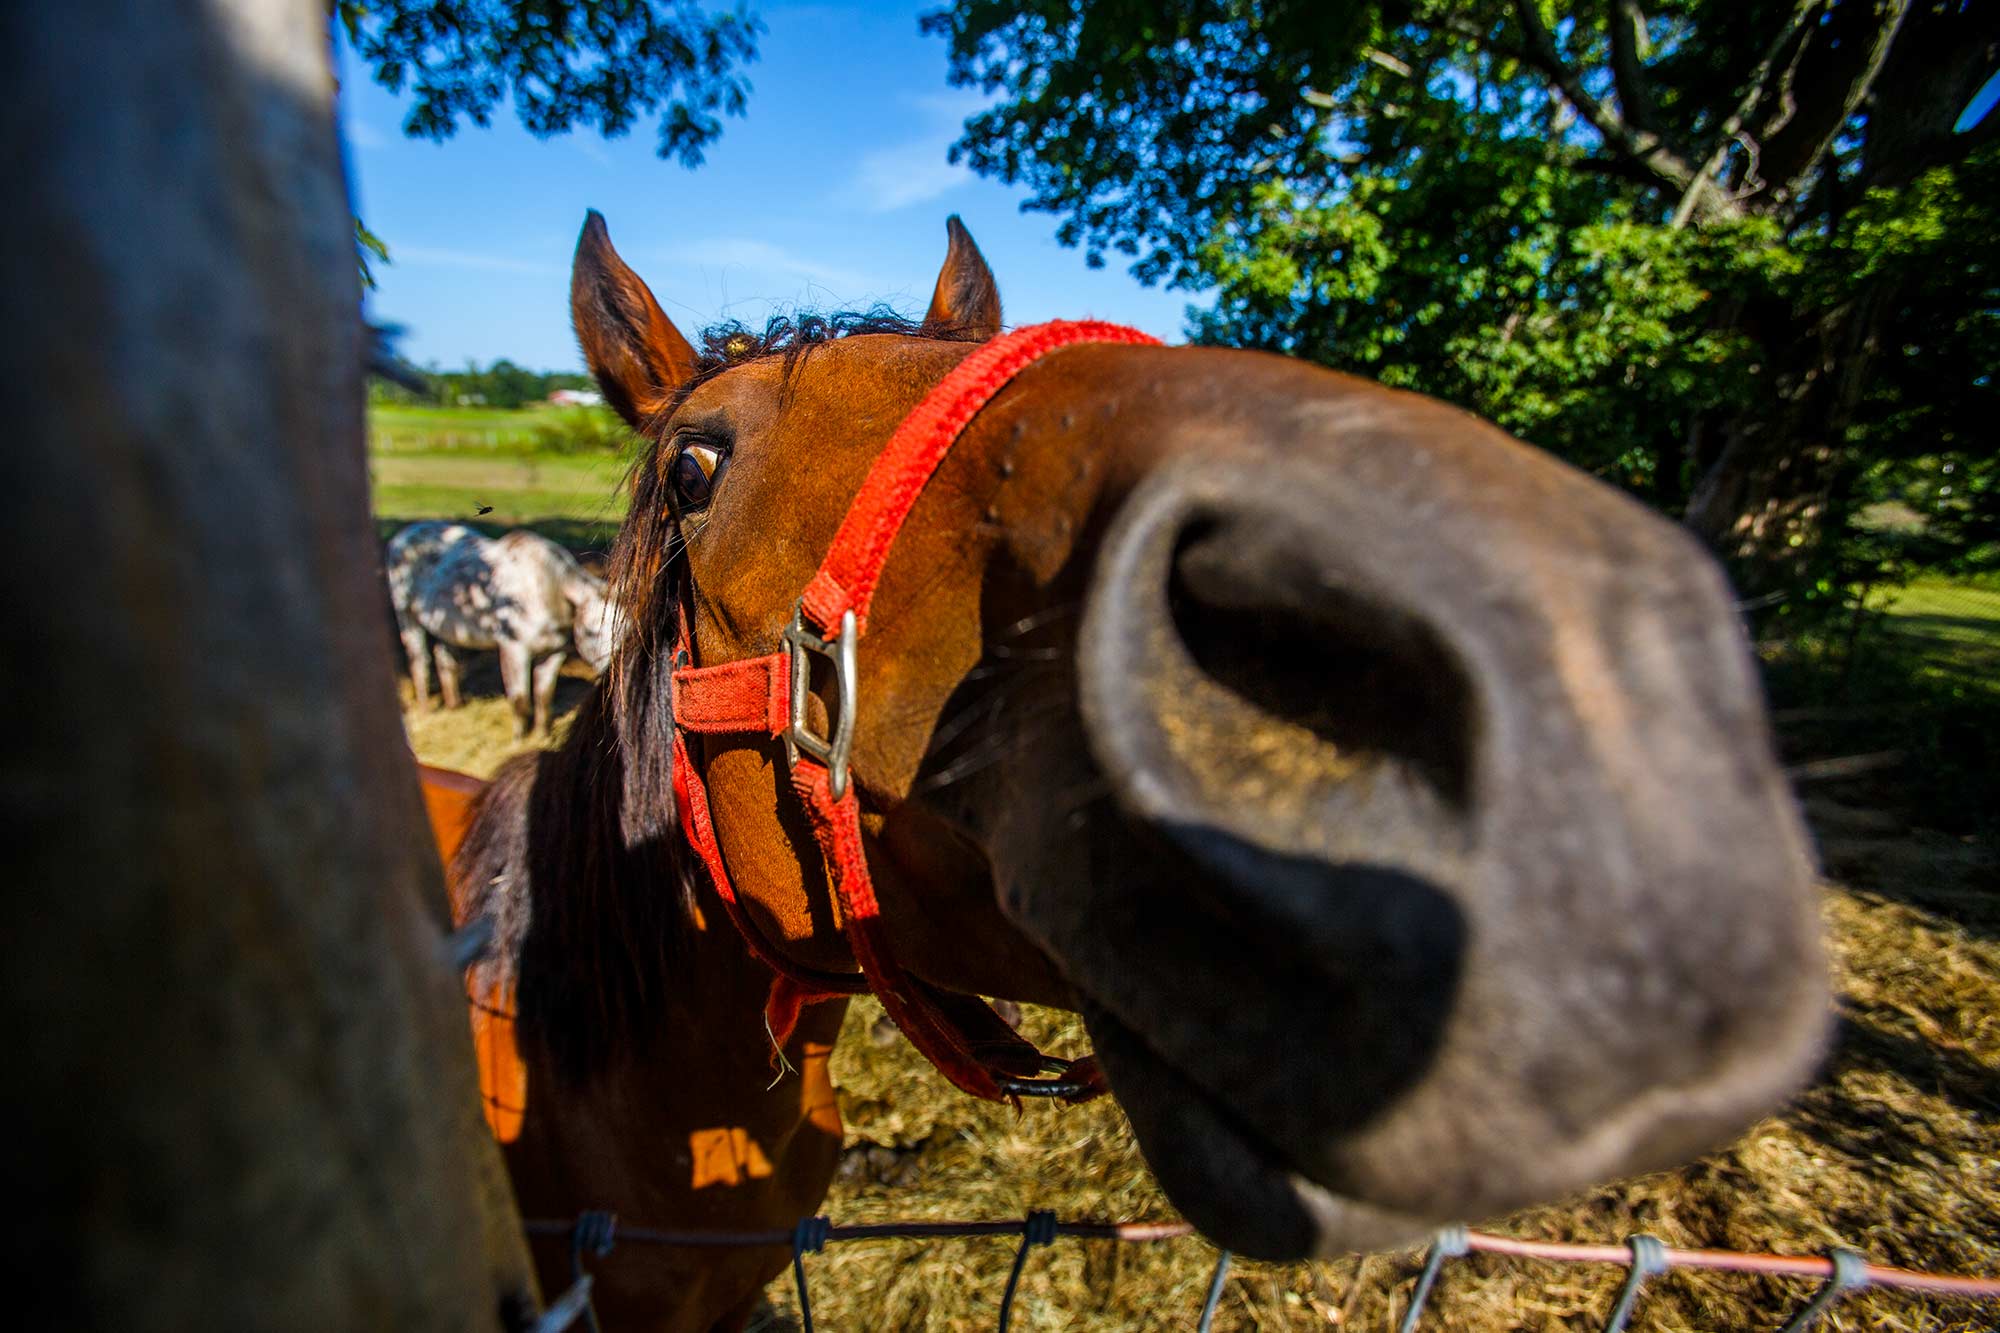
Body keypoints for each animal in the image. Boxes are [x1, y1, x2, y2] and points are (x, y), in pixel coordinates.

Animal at [386, 516, 612, 732]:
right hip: (405, 614)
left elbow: (543, 697)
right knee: (418, 662)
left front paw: (540, 735)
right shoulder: (513, 647)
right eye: (592, 631)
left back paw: (454, 707)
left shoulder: (554, 652)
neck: (547, 591)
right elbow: (520, 701)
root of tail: (404, 534)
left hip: (445, 624)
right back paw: (425, 712)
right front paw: (518, 740)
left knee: (445, 661)